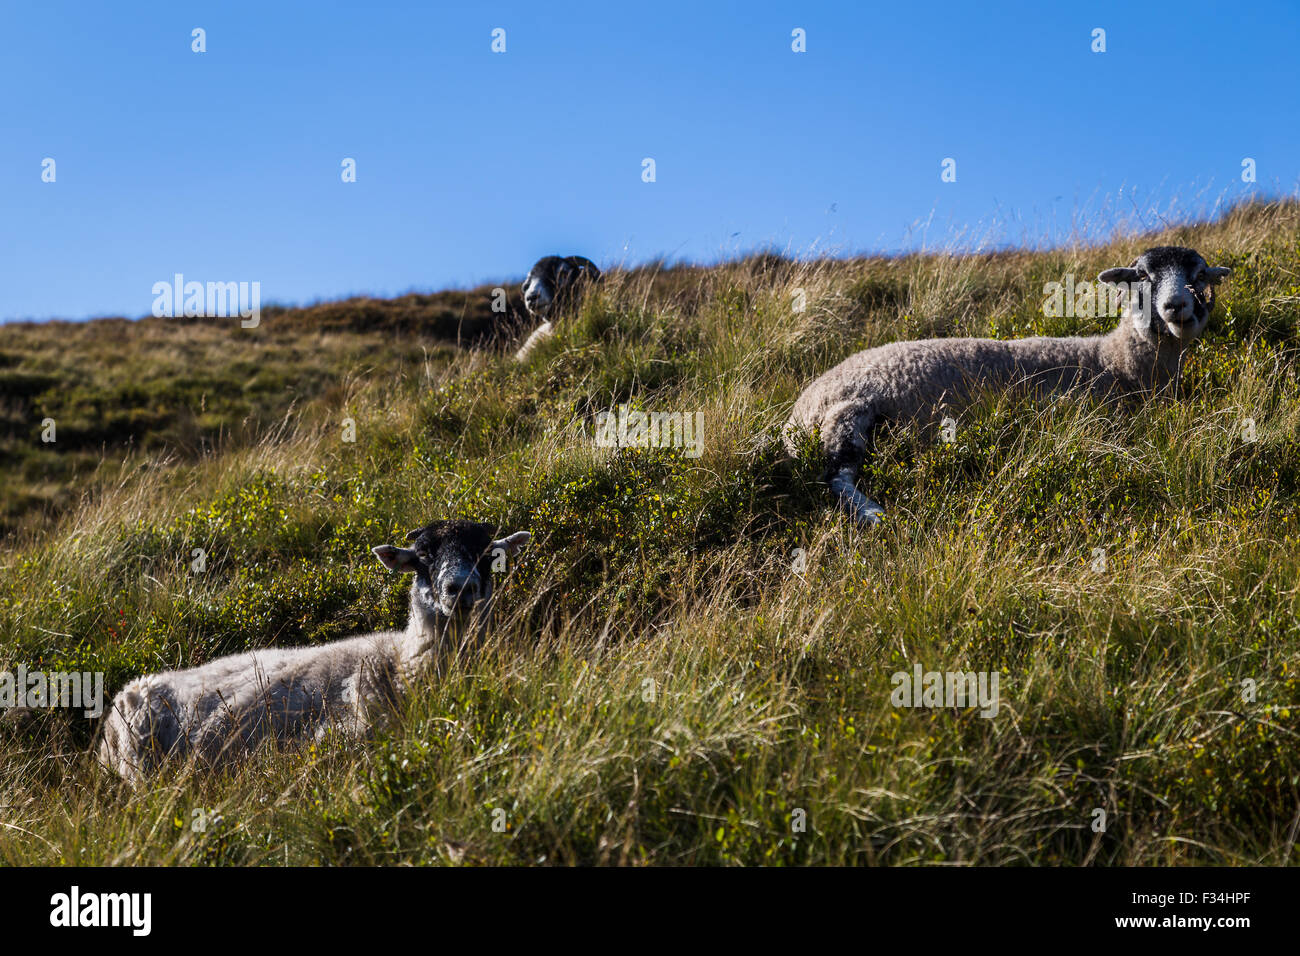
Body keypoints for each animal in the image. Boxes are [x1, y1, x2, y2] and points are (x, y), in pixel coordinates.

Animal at [94, 520, 533, 790]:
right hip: (140, 765)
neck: (398, 662)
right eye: (423, 556)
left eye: (487, 555)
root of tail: (128, 689)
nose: (460, 588)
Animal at [780, 244, 1227, 522]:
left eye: (1199, 274)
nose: (1176, 306)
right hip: (846, 415)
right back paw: (876, 515)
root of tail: (798, 412)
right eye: (1142, 276)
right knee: (836, 479)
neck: (1112, 360)